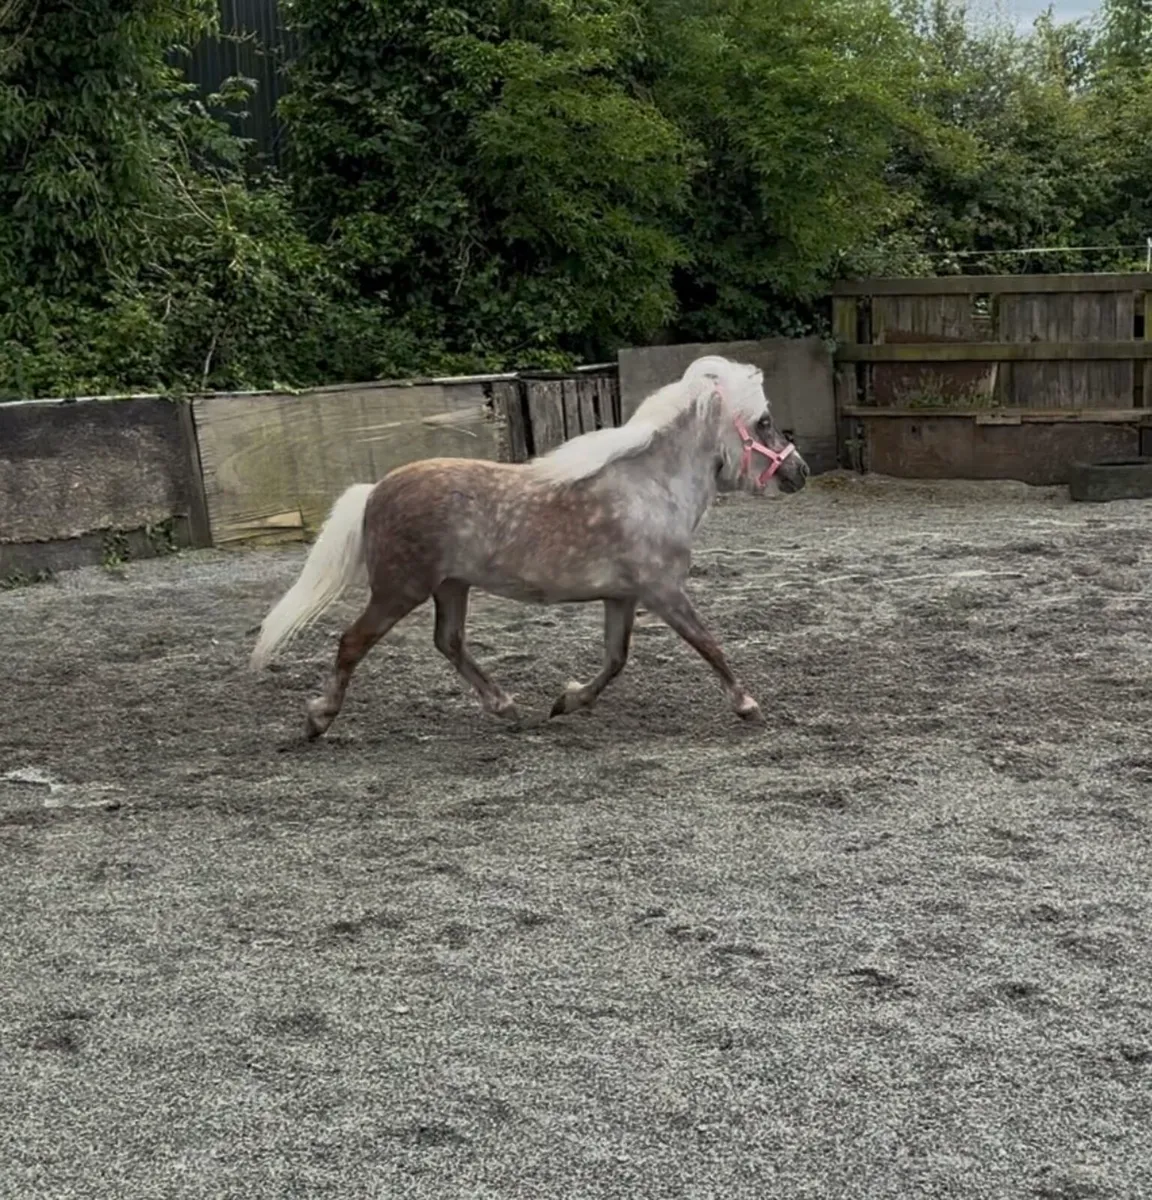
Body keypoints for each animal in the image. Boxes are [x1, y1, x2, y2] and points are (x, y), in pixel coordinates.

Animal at [249, 355, 809, 736]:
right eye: (763, 422)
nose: (800, 472)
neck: (652, 489)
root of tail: (375, 490)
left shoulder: (623, 597)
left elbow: (616, 659)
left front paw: (568, 701)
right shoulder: (663, 592)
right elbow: (708, 644)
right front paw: (747, 704)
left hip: (451, 586)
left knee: (448, 642)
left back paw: (506, 707)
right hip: (399, 589)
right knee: (352, 642)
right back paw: (319, 719)